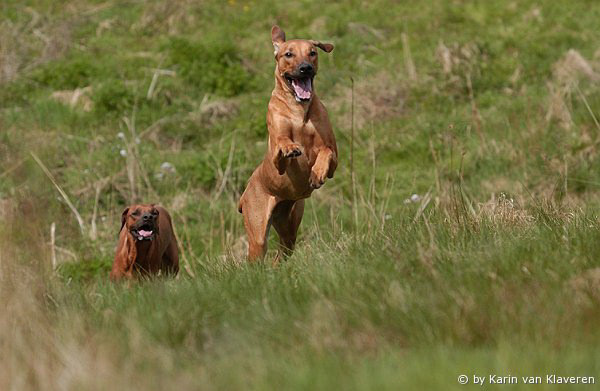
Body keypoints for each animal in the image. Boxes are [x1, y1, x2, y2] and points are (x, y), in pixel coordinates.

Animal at [238, 26, 338, 262]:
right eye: (288, 54)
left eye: (312, 52)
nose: (305, 68)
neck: (299, 109)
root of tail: (244, 194)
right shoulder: (277, 158)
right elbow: (282, 144)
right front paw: (291, 147)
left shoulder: (334, 158)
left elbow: (326, 152)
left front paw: (316, 173)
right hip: (257, 232)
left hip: (289, 224)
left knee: (281, 253)